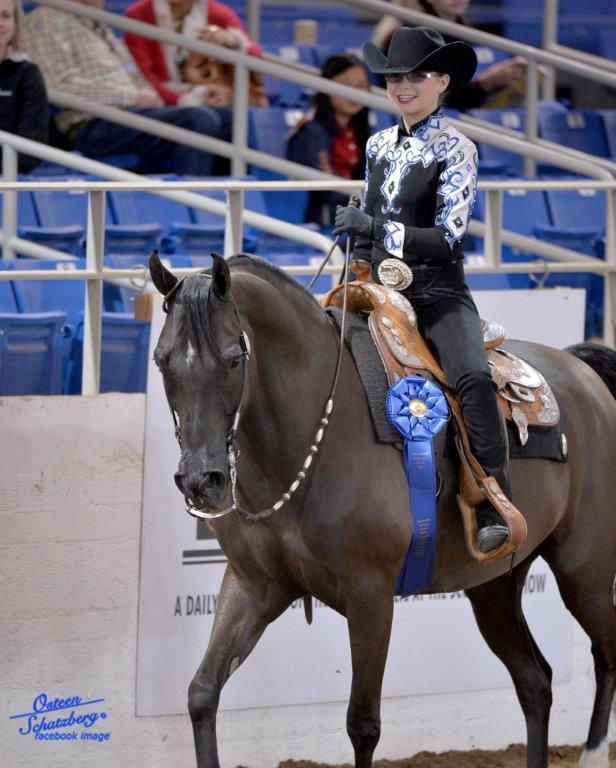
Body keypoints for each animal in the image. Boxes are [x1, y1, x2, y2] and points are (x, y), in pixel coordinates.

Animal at [149, 251, 616, 768]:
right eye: (162, 360)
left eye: (234, 358)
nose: (200, 480)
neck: (314, 432)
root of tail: (585, 375)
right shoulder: (255, 585)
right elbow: (201, 693)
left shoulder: (370, 596)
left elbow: (363, 724)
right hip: (494, 589)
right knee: (536, 682)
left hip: (585, 572)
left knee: (606, 656)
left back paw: (594, 753)